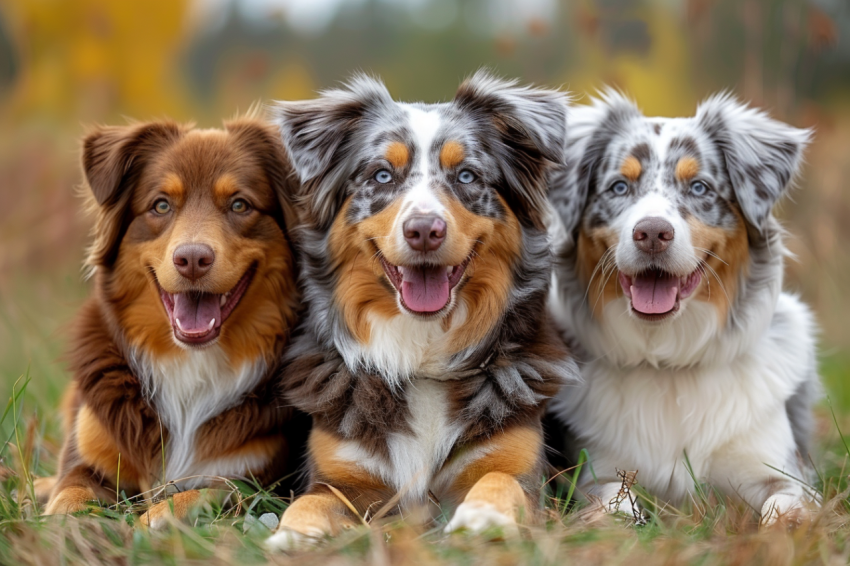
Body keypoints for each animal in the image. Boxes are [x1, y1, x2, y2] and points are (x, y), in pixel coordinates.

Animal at [43, 115, 308, 528]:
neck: (190, 361)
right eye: (161, 205)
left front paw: (143, 525)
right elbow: (66, 496)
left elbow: (189, 498)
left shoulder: (252, 482)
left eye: (240, 204)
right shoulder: (86, 457)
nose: (193, 259)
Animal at [548, 91, 820, 524]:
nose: (652, 233)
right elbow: (616, 502)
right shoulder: (593, 475)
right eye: (619, 187)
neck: (669, 361)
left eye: (699, 187)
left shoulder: (780, 472)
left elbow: (783, 505)